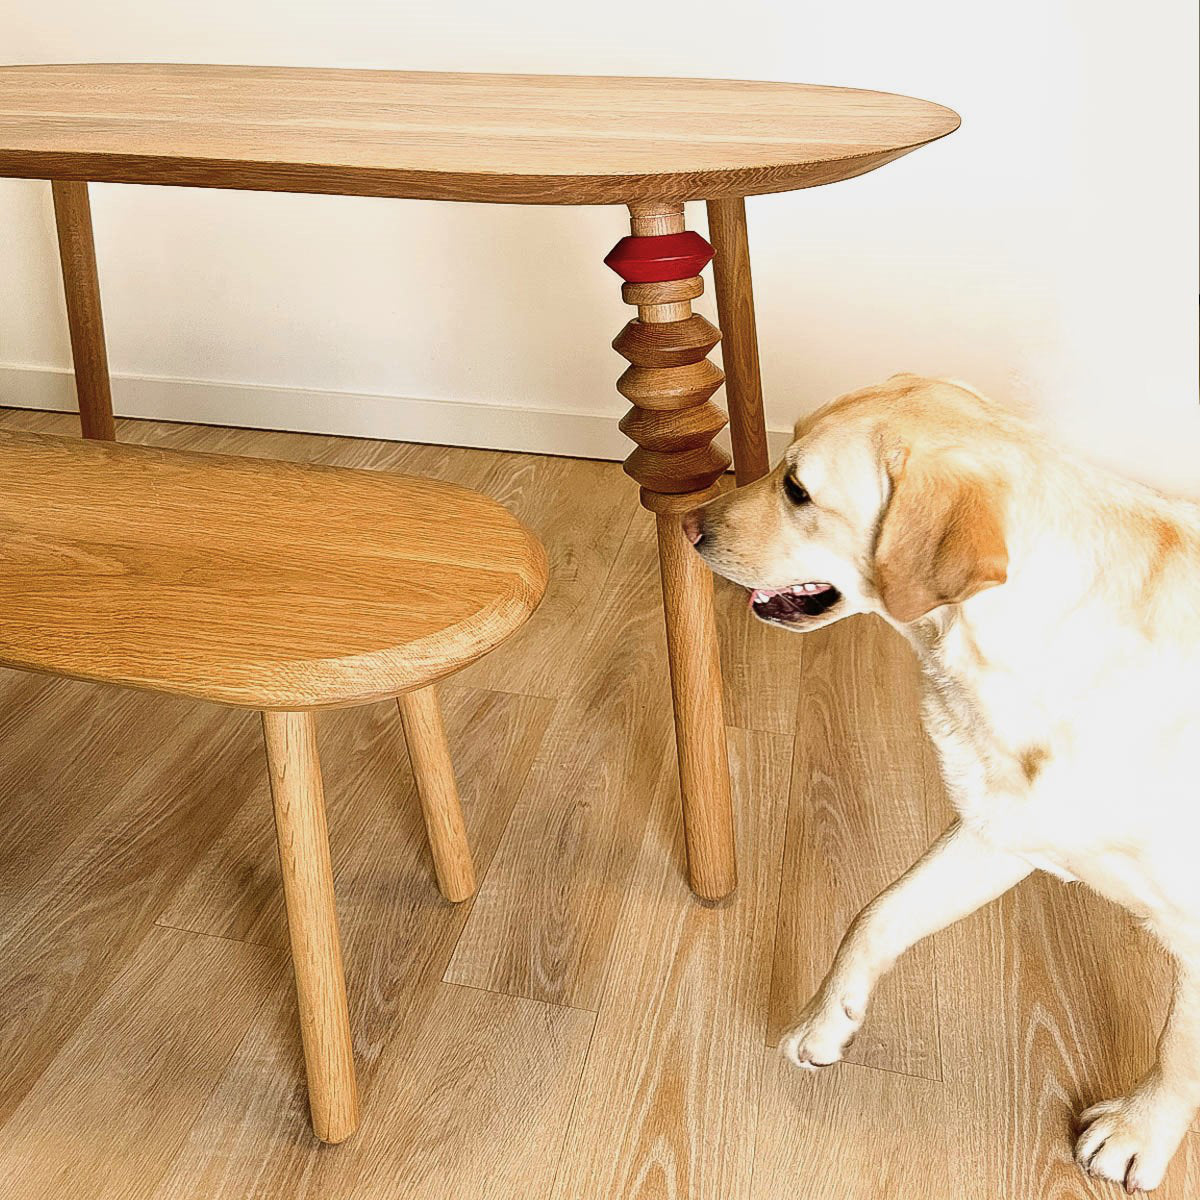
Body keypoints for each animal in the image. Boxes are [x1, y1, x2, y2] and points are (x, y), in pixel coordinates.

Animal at [686, 372, 1200, 1190]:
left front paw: (1138, 1132)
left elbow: (1182, 1044)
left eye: (798, 489)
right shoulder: (1002, 829)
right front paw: (824, 1021)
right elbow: (875, 915)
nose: (687, 526)